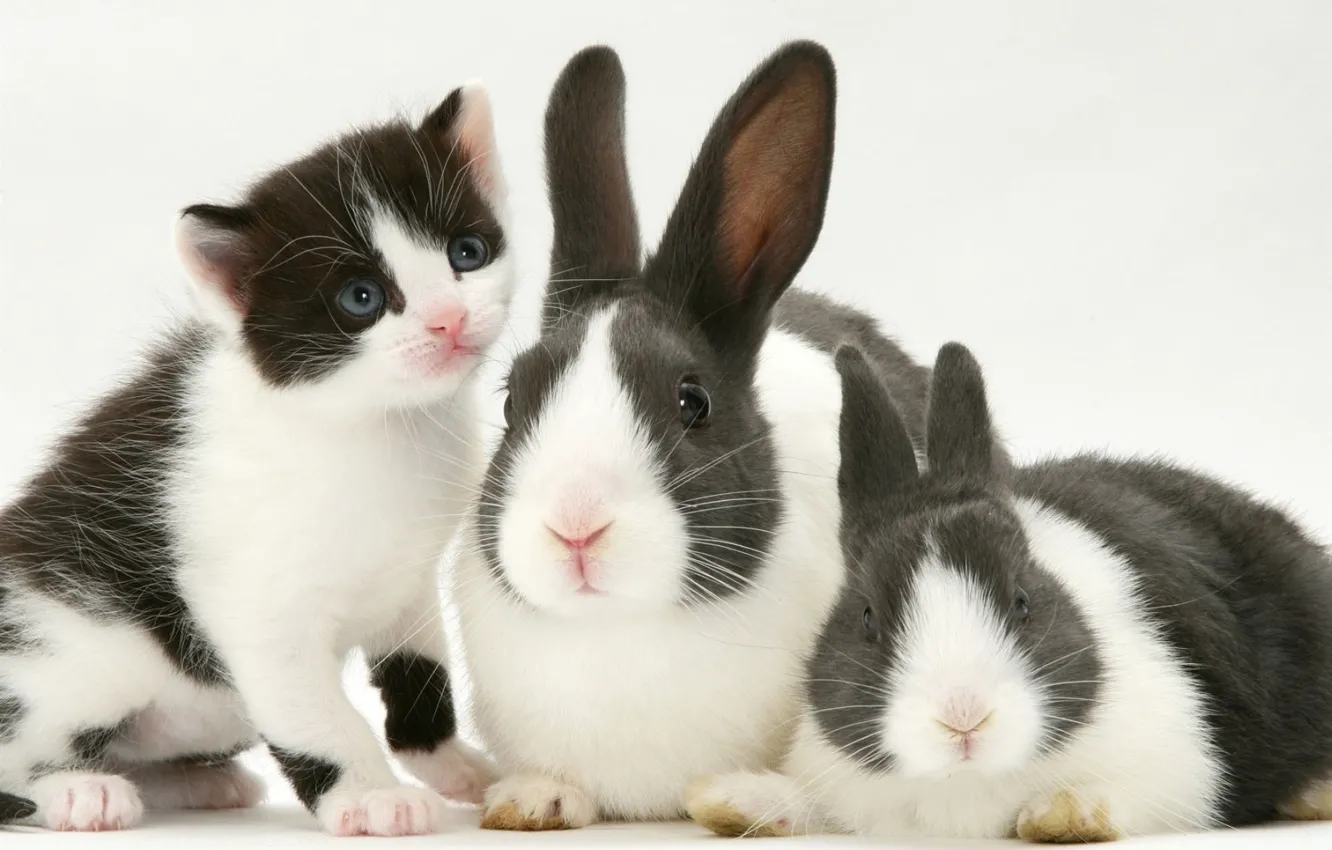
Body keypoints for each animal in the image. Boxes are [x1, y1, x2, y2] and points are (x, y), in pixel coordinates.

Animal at [450, 42, 1006, 830]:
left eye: (693, 402)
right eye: (510, 402)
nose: (575, 526)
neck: (620, 628)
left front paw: (744, 800)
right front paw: (535, 800)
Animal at [686, 341, 1332, 841]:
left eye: (1023, 600)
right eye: (866, 618)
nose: (963, 716)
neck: (969, 781)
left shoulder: (1182, 766)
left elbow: (1134, 796)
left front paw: (1064, 814)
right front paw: (725, 800)